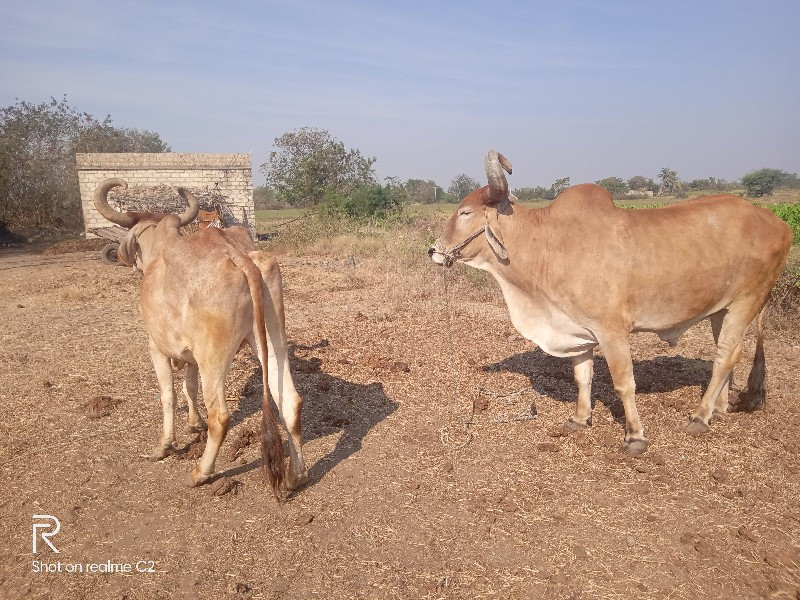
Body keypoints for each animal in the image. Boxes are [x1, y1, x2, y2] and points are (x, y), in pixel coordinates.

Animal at [93, 177, 306, 492]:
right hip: (269, 339)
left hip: (212, 357)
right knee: (290, 402)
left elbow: (168, 395)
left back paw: (200, 473)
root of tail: (240, 257)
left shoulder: (156, 346)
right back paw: (295, 475)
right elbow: (189, 387)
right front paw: (195, 423)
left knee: (221, 416)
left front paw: (164, 446)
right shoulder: (190, 355)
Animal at [428, 151, 792, 454]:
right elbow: (582, 377)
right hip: (721, 308)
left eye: (465, 212)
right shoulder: (578, 331)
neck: (548, 245)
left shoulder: (612, 331)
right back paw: (718, 409)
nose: (433, 251)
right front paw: (579, 419)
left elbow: (623, 382)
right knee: (727, 354)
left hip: (747, 300)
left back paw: (700, 417)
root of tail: (777, 222)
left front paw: (635, 436)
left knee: (725, 356)